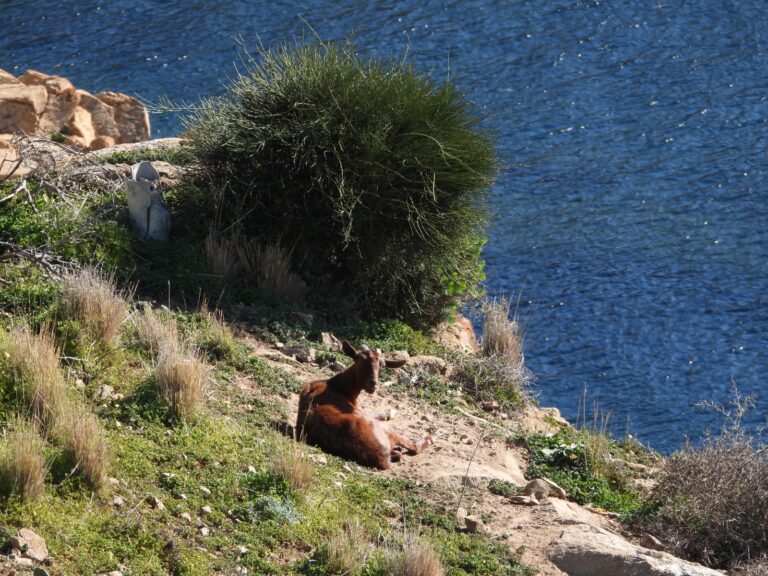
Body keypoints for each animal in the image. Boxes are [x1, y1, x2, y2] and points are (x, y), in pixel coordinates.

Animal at [296, 340, 432, 470]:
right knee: (413, 447)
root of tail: (381, 458)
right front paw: (389, 412)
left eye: (382, 365)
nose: (373, 384)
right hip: (384, 430)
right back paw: (428, 438)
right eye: (359, 360)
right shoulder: (359, 410)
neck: (339, 387)